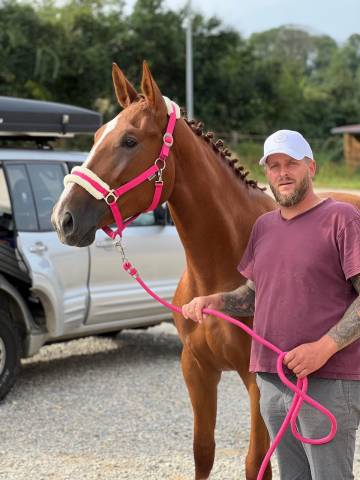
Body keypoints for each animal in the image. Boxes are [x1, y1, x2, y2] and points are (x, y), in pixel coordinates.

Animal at [52, 62, 360, 478]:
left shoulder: (258, 380)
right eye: (98, 135)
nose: (64, 218)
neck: (220, 264)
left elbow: (256, 462)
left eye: (130, 141)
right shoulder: (196, 369)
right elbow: (202, 452)